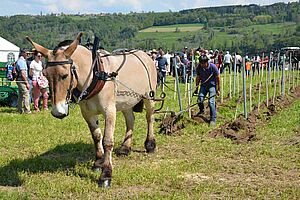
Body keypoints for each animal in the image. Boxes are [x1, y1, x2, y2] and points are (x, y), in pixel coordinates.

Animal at [26, 32, 157, 188]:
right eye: (45, 75)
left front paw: (106, 173)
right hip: (126, 101)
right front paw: (98, 162)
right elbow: (96, 136)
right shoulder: (87, 113)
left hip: (149, 96)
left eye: (64, 75)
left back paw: (150, 144)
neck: (95, 74)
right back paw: (125, 147)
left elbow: (107, 141)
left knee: (149, 118)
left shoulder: (109, 110)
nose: (58, 111)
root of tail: (145, 54)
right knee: (130, 119)